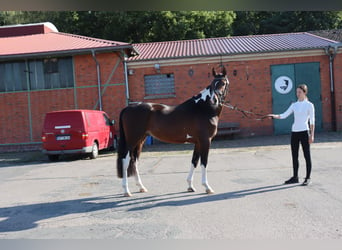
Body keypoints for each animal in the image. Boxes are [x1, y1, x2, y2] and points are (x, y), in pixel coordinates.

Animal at [117, 67, 230, 197]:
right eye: (212, 84)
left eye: (223, 83)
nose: (214, 99)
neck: (204, 108)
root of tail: (127, 108)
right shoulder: (205, 141)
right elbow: (204, 162)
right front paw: (207, 187)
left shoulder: (198, 142)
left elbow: (194, 161)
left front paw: (190, 186)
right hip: (132, 140)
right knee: (125, 160)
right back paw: (126, 191)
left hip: (140, 140)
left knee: (134, 160)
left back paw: (141, 187)